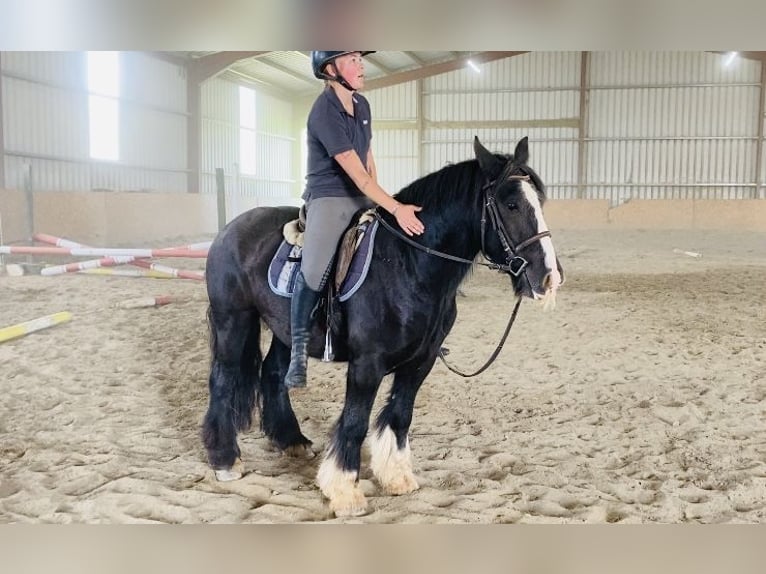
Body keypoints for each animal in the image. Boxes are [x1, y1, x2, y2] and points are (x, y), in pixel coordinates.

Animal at [204, 136, 564, 516]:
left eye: (539, 201)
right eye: (511, 204)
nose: (549, 277)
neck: (408, 264)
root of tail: (232, 228)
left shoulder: (421, 361)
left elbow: (400, 416)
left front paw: (396, 477)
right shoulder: (367, 364)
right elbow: (355, 421)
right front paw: (346, 491)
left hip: (284, 330)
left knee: (273, 374)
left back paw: (292, 441)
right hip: (233, 320)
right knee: (223, 380)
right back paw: (224, 459)